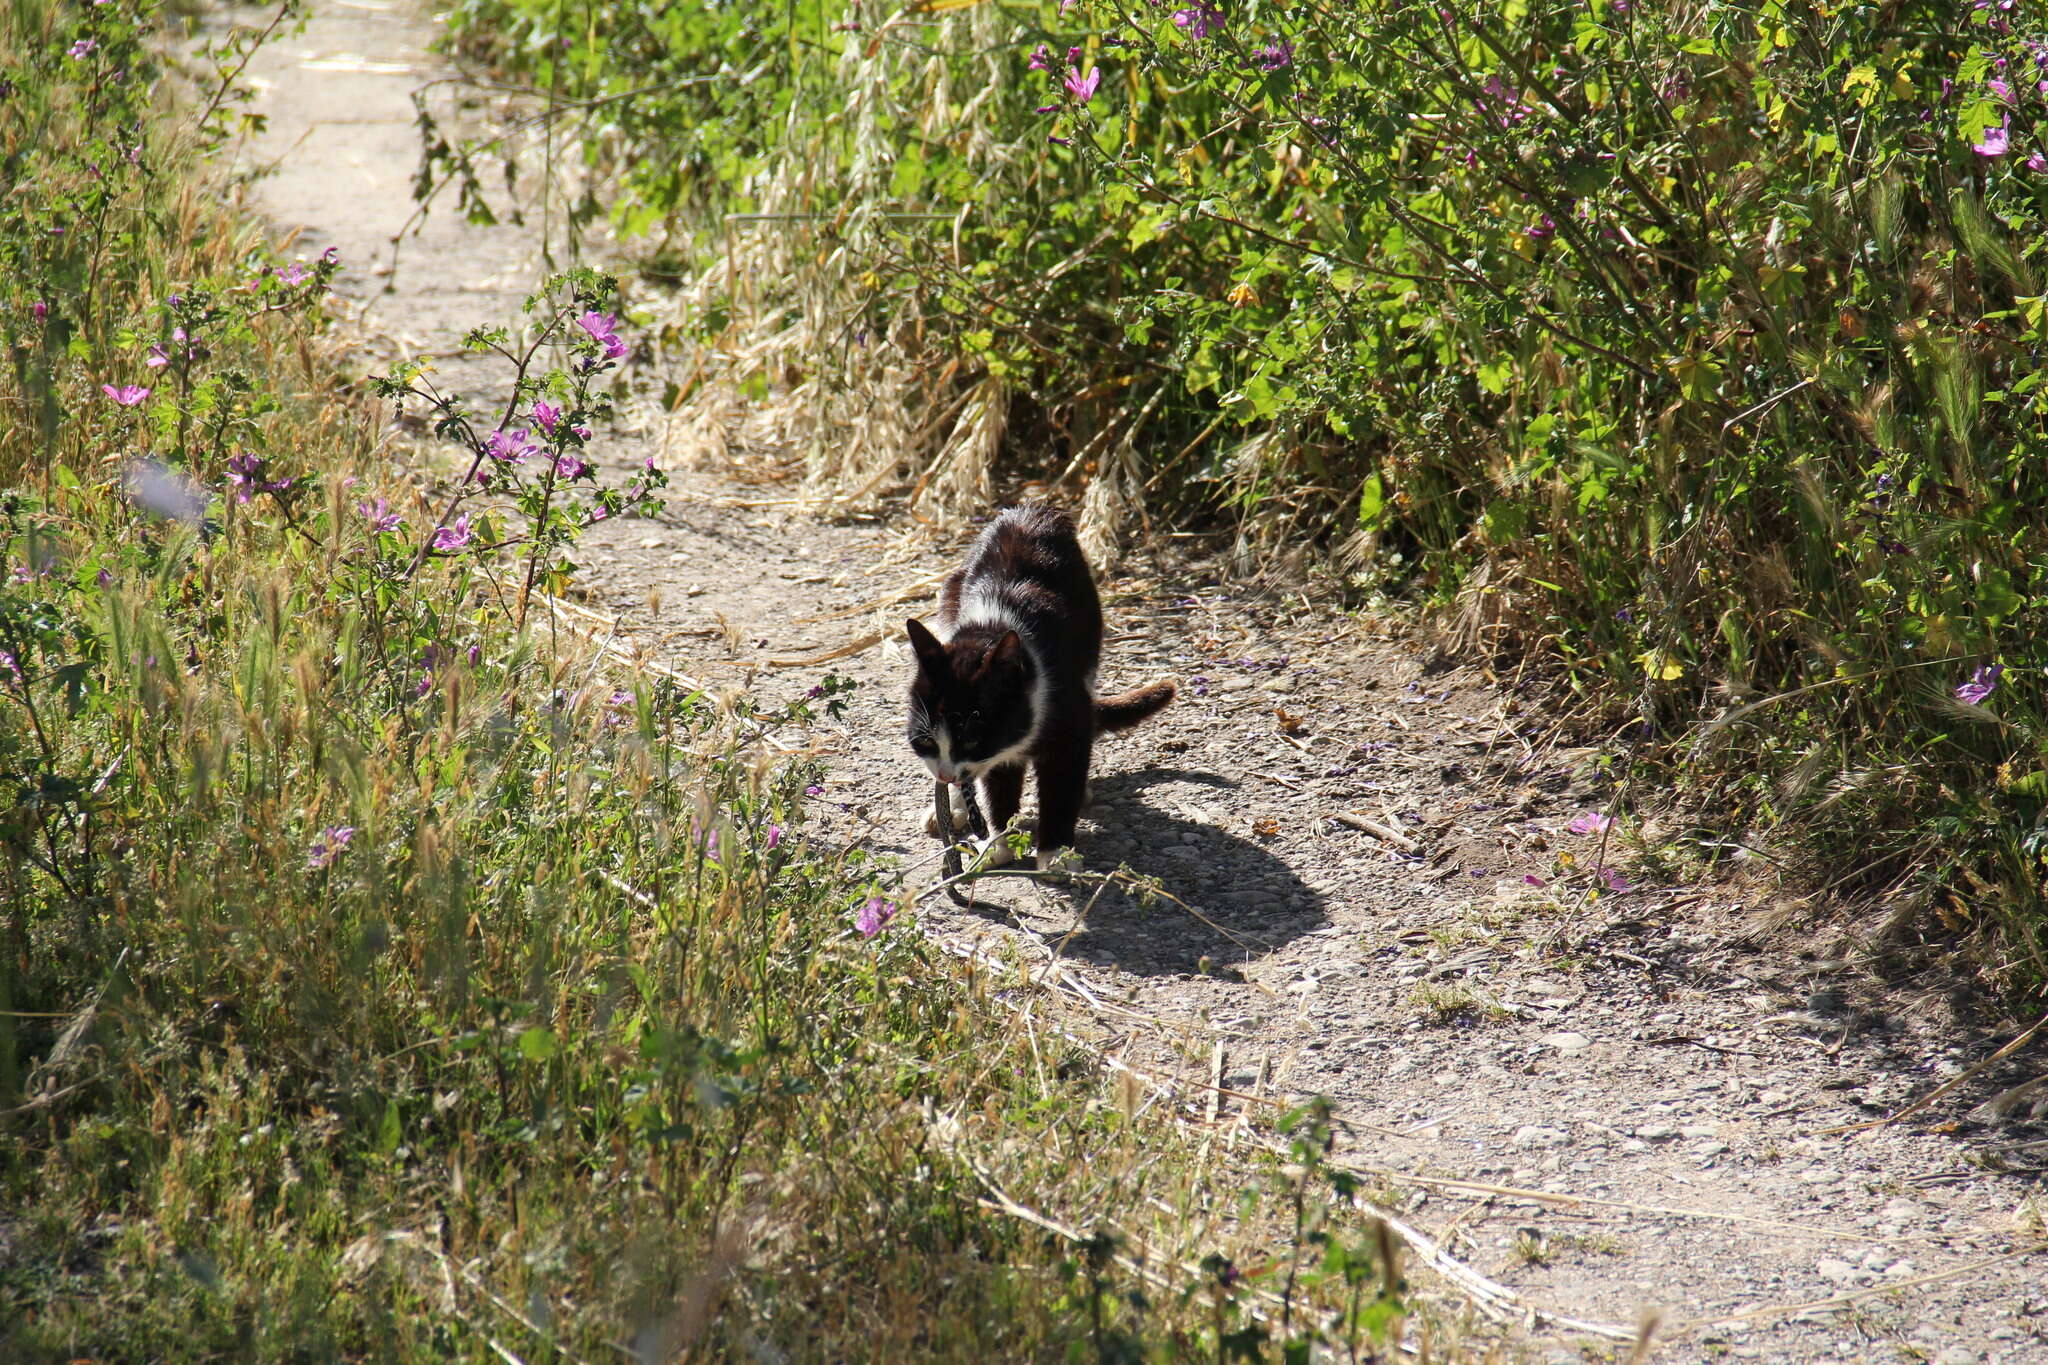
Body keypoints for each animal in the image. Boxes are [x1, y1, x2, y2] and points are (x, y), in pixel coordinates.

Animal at [909, 507, 1179, 871]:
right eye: (925, 742)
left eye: (972, 740)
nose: (947, 775)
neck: (990, 627)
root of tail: (1030, 509)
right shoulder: (1000, 748)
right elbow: (997, 785)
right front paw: (997, 845)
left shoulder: (1064, 715)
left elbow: (1061, 781)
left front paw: (1056, 854)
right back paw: (953, 806)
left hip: (1091, 630)